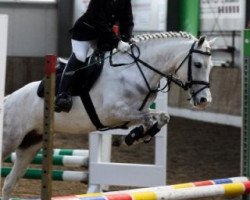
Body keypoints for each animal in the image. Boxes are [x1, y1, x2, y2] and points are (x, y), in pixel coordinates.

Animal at [0, 32, 214, 199]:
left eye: (211, 66)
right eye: (197, 64)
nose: (204, 100)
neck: (135, 72)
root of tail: (8, 100)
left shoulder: (127, 116)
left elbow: (161, 117)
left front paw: (137, 135)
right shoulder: (114, 112)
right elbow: (149, 117)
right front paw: (136, 135)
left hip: (30, 146)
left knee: (9, 182)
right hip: (9, 141)